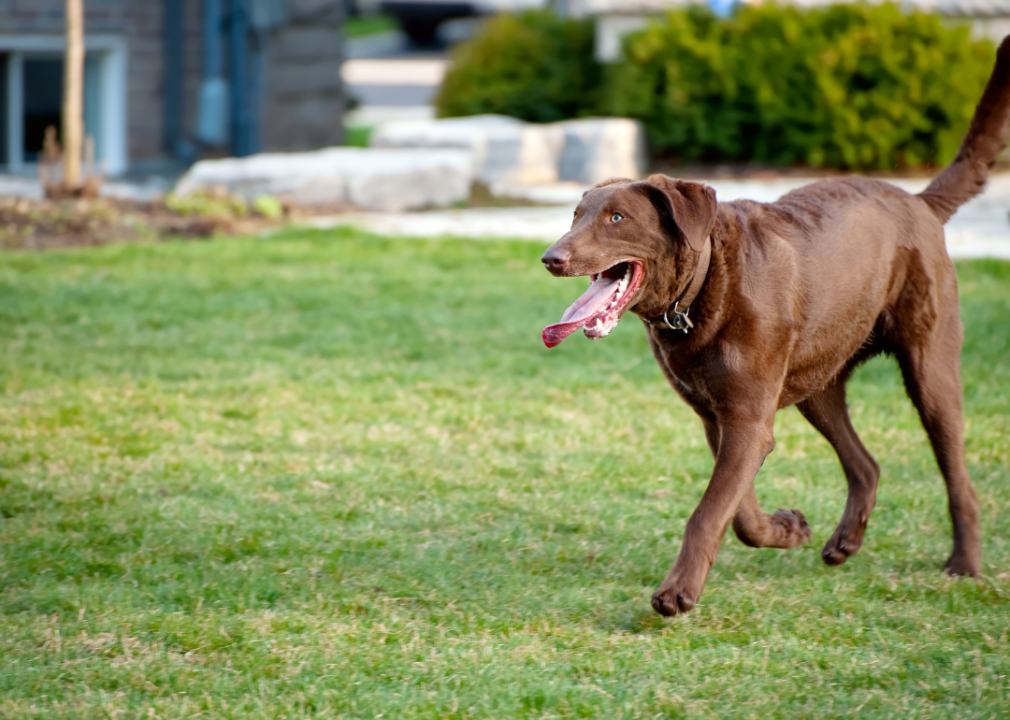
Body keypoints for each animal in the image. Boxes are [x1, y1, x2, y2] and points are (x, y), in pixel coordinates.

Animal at [541, 39, 1005, 613]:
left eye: (617, 219)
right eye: (575, 215)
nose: (551, 258)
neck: (703, 287)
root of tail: (919, 203)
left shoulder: (746, 419)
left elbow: (709, 511)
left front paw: (677, 592)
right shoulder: (719, 417)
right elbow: (737, 511)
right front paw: (786, 529)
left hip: (930, 368)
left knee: (957, 476)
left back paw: (964, 565)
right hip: (818, 383)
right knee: (866, 464)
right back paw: (844, 541)